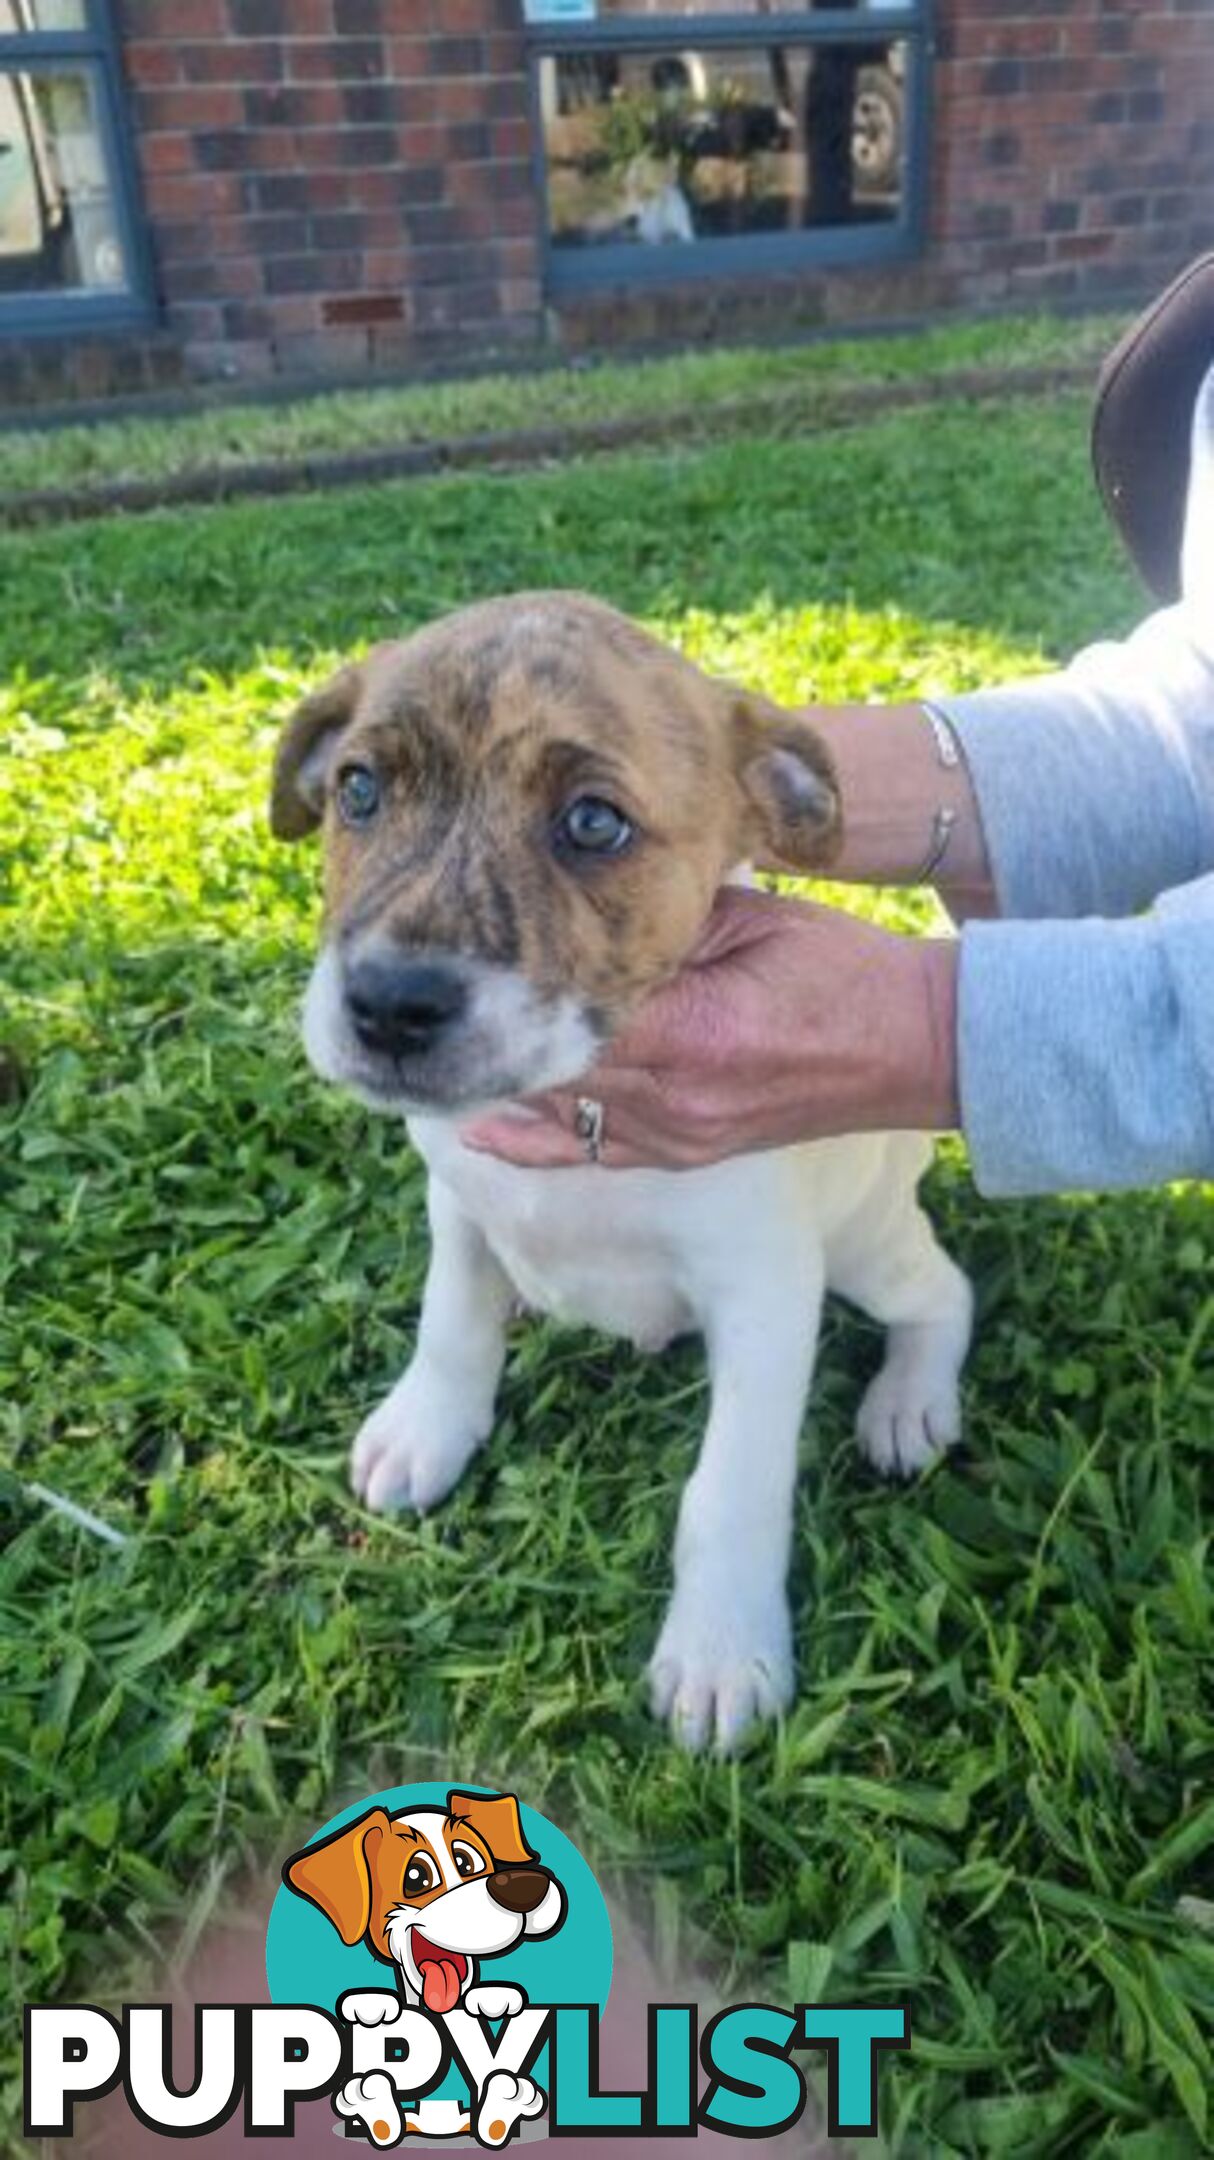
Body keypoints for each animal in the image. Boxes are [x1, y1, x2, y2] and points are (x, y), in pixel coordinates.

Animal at [268, 591, 967, 1753]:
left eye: (593, 824)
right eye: (359, 790)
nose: (390, 1008)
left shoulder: (766, 1296)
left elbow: (730, 1486)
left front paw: (721, 1648)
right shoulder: (456, 1206)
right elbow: (450, 1325)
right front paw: (426, 1427)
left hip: (867, 1247)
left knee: (946, 1294)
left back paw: (909, 1401)